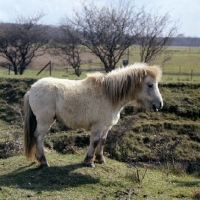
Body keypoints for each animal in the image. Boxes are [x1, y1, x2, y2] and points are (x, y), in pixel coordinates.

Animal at [24, 63, 163, 168]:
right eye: (150, 85)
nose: (160, 104)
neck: (109, 95)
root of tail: (32, 89)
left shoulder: (106, 127)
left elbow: (102, 141)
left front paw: (100, 159)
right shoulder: (98, 126)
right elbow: (95, 141)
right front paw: (90, 161)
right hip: (45, 121)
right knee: (39, 137)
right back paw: (43, 161)